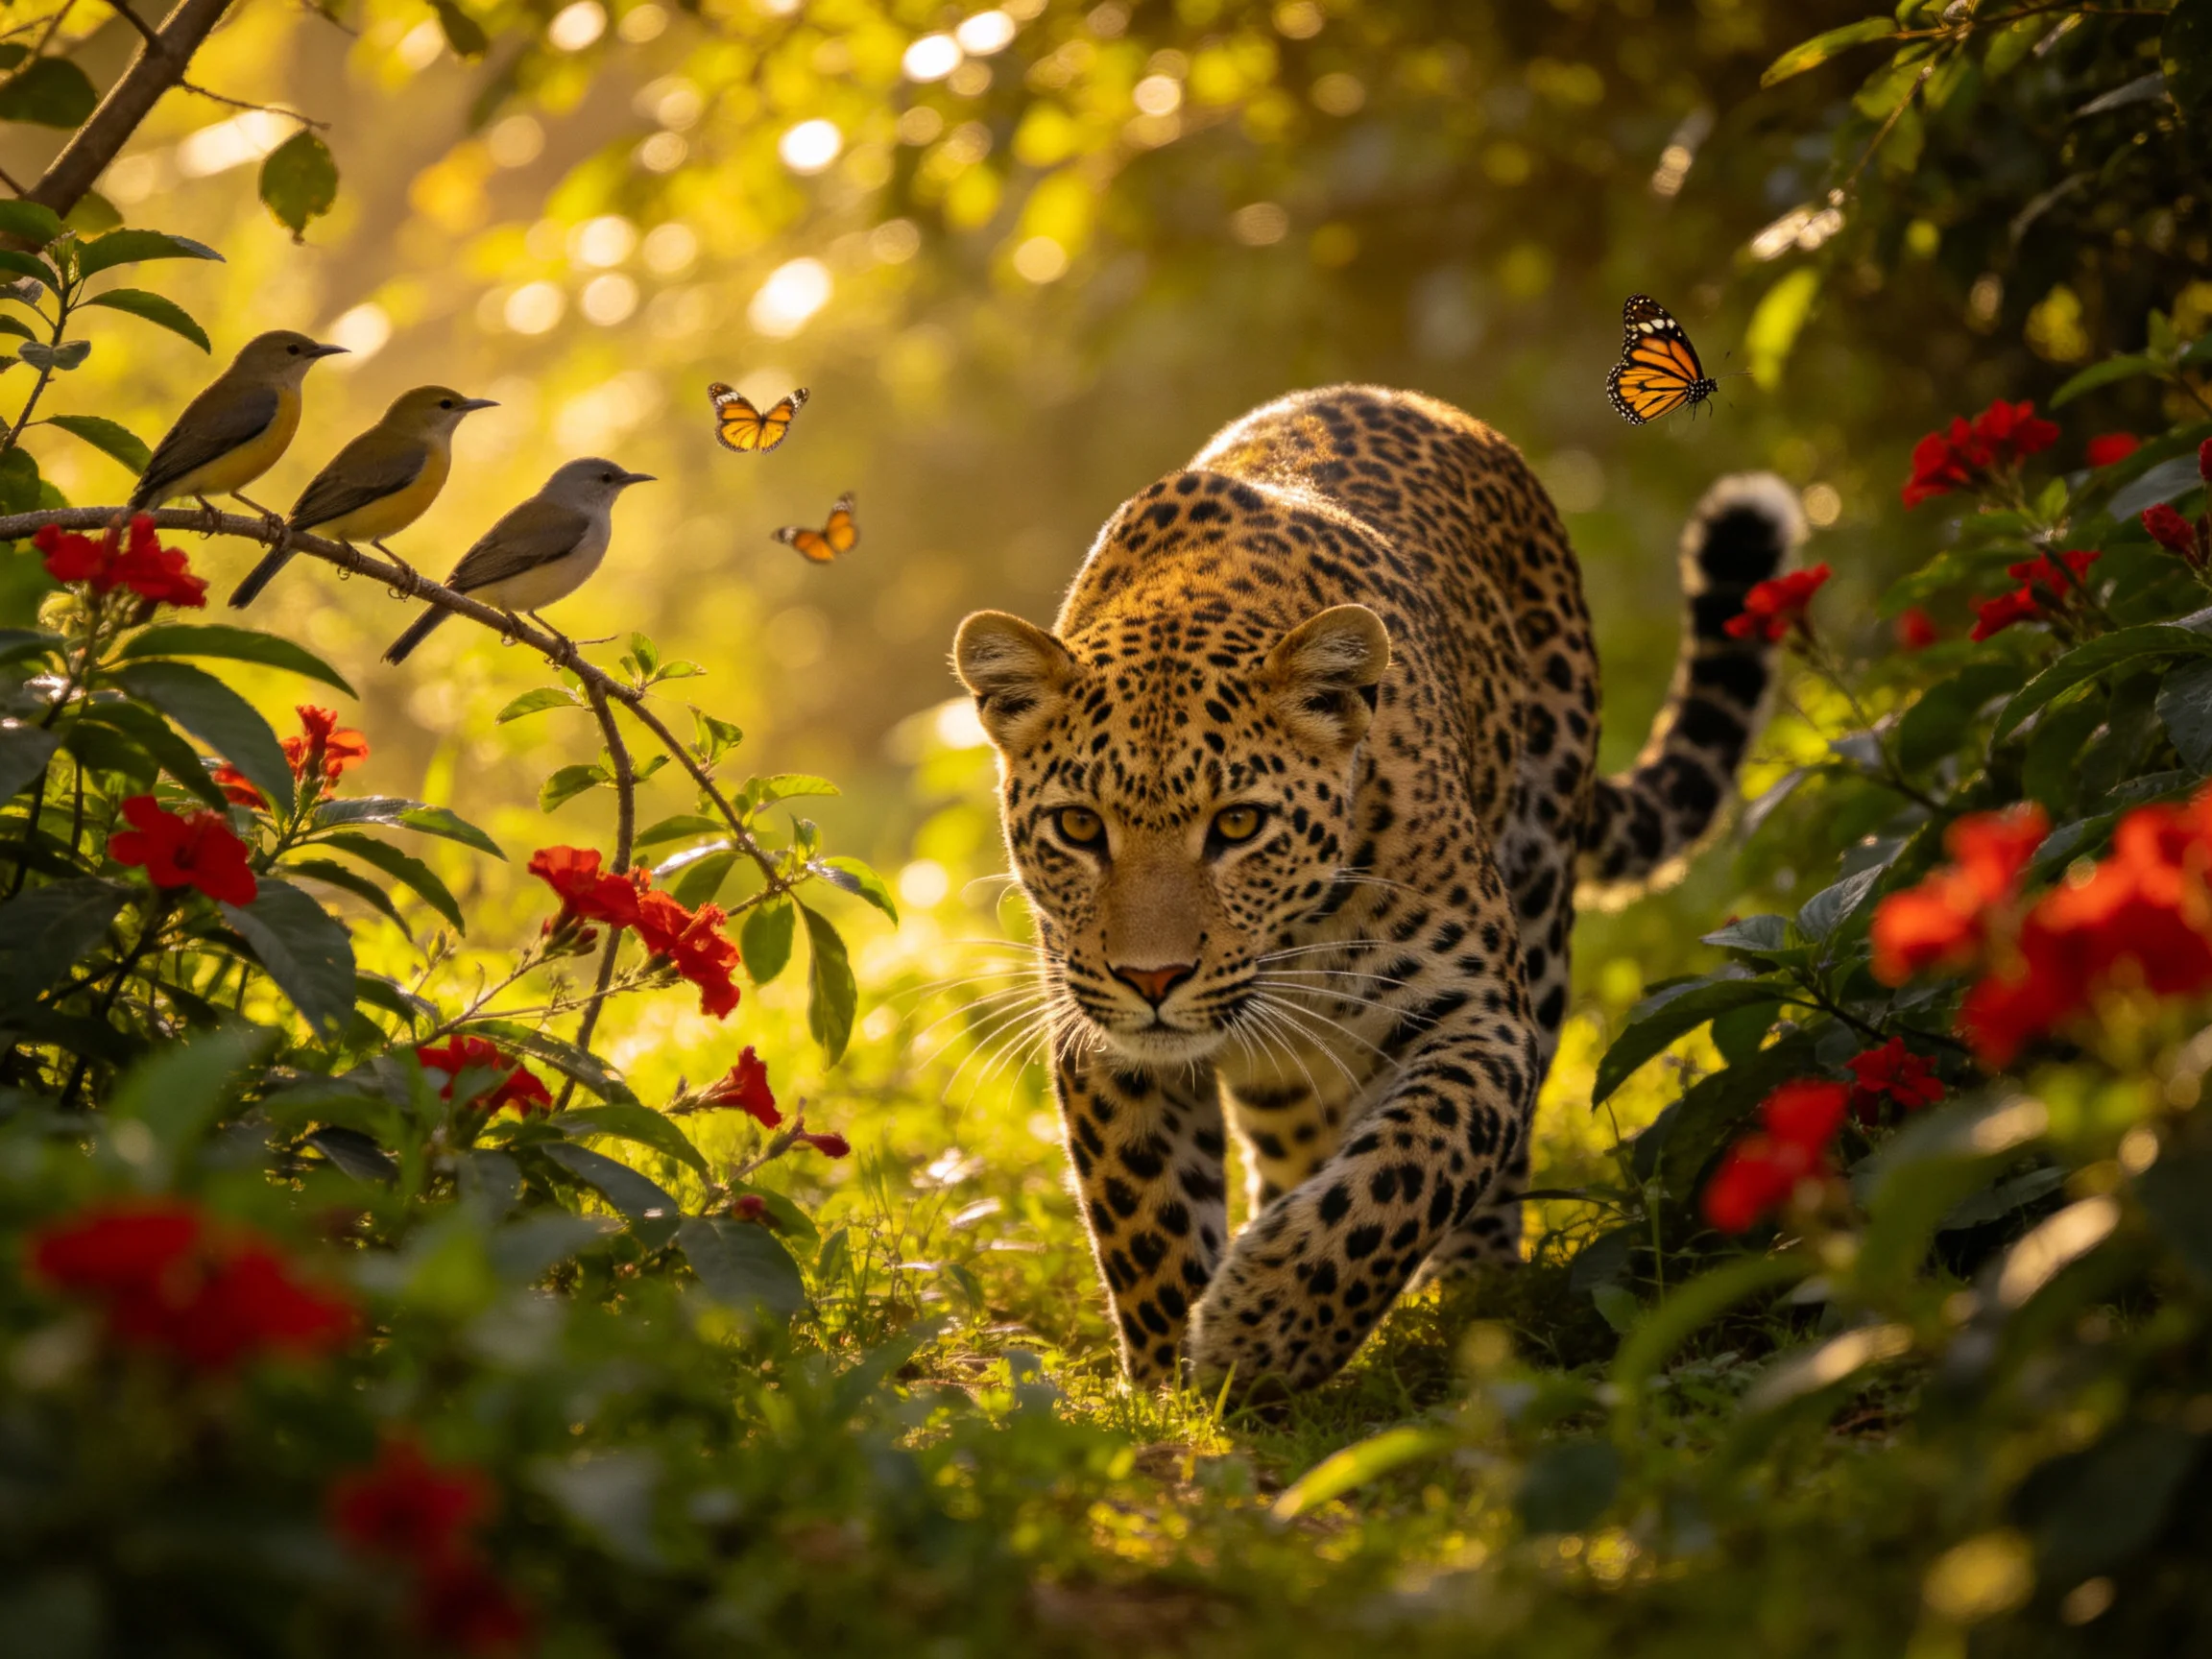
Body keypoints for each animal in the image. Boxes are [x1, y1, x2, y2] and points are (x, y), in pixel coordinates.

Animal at [952, 385, 1804, 1392]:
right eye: (1080, 828)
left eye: (1238, 825)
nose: (1152, 980)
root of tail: (1421, 402)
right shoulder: (1100, 1032)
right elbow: (1148, 1220)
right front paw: (1171, 1385)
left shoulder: (1477, 1013)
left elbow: (1411, 1167)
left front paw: (1264, 1329)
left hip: (1543, 899)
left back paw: (1476, 1294)